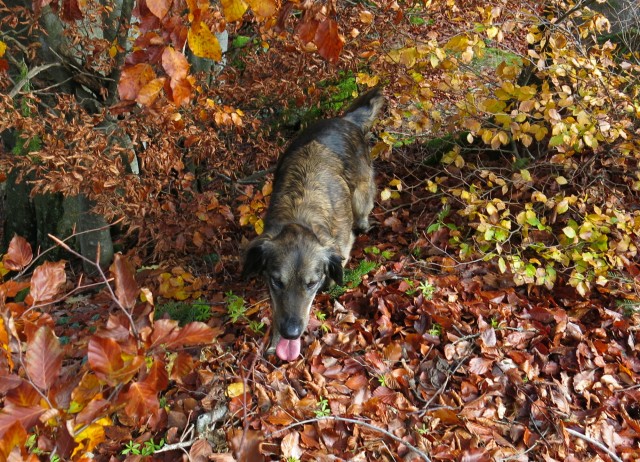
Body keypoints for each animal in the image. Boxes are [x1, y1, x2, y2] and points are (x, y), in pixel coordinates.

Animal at [244, 86, 384, 360]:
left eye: (311, 284)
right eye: (277, 282)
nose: (291, 333)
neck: (301, 214)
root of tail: (346, 120)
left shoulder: (341, 245)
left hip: (361, 195)